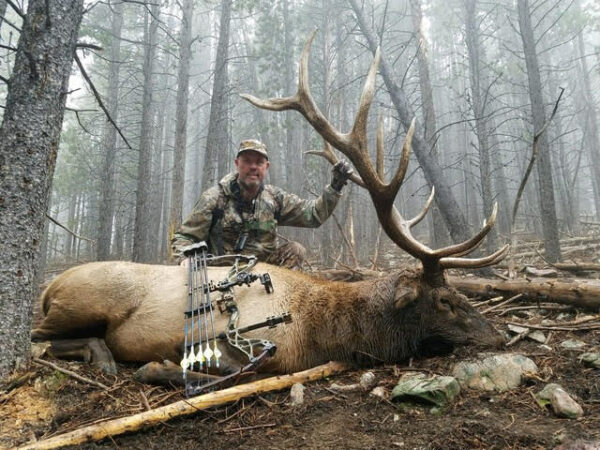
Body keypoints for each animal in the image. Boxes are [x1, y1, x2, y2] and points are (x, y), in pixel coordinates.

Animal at [30, 32, 508, 386]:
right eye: (445, 301)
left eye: (462, 294)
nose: (500, 335)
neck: (322, 331)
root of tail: (49, 287)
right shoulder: (254, 344)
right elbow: (233, 369)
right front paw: (158, 366)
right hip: (81, 304)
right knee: (37, 338)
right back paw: (101, 355)